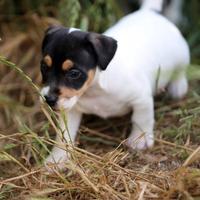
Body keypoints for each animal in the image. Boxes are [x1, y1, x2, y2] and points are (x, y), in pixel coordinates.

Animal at [40, 0, 189, 168]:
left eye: (74, 73)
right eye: (44, 67)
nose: (48, 99)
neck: (95, 90)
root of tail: (149, 11)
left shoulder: (141, 99)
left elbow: (141, 119)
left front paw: (140, 140)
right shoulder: (71, 110)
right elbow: (63, 135)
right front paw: (57, 158)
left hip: (182, 56)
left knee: (180, 71)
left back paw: (178, 87)